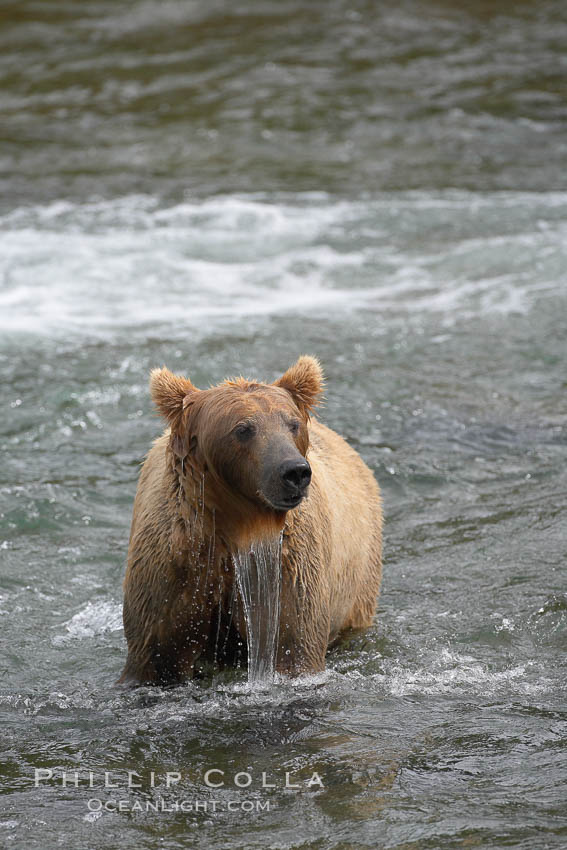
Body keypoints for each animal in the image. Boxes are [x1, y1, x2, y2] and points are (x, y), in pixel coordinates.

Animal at [118, 356, 382, 684]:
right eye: (243, 429)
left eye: (292, 424)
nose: (294, 471)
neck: (241, 526)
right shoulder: (175, 564)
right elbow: (156, 654)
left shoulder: (288, 569)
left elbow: (292, 646)